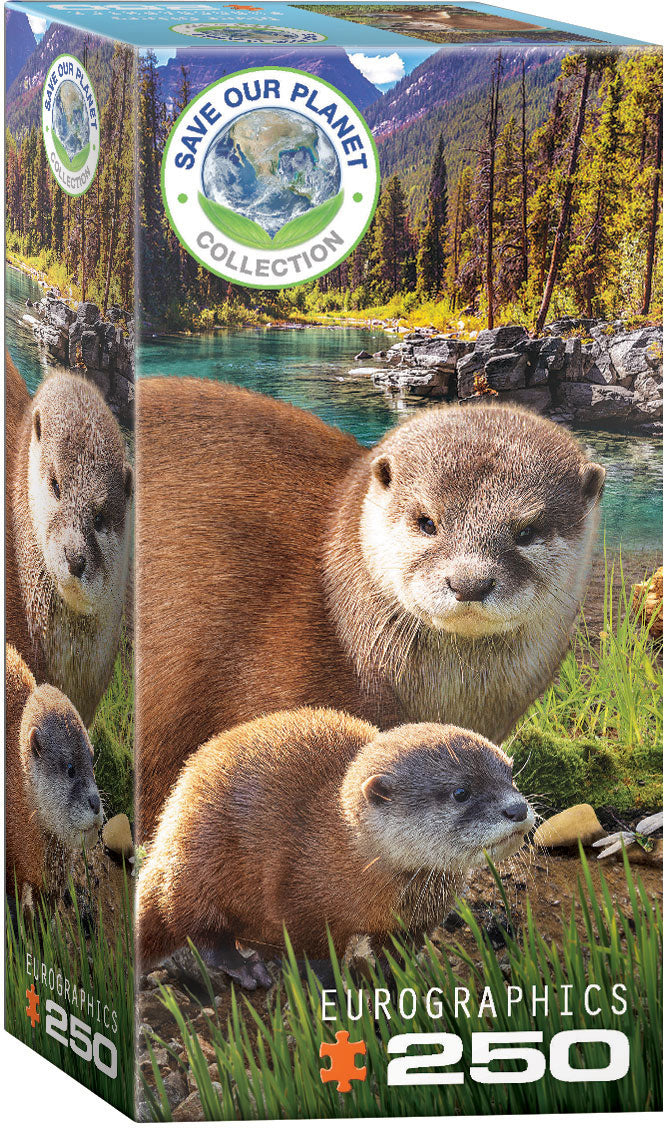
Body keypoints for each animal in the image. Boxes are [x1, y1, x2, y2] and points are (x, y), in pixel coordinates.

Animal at [137, 708, 534, 984]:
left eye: (510, 773)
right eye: (460, 792)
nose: (518, 808)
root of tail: (166, 832)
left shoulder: (417, 921)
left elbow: (400, 954)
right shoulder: (300, 900)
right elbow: (316, 956)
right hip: (200, 861)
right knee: (193, 925)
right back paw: (246, 968)